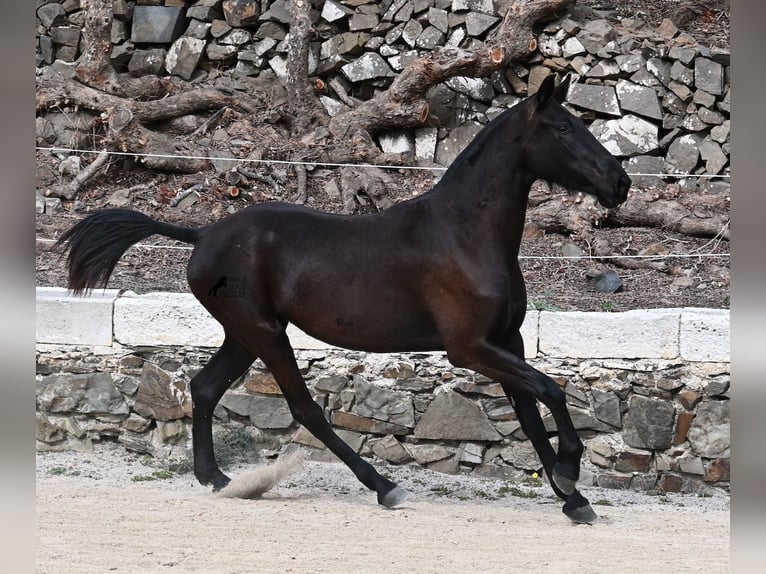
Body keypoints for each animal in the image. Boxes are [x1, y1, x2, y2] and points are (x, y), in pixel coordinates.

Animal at [57, 76, 632, 528]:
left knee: (204, 388)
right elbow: (552, 391)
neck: (465, 233)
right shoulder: (471, 348)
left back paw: (216, 478)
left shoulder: (505, 341)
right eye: (564, 129)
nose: (621, 182)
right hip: (266, 334)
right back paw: (383, 487)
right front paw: (570, 473)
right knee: (304, 408)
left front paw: (573, 499)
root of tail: (201, 235)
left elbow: (532, 414)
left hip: (244, 334)